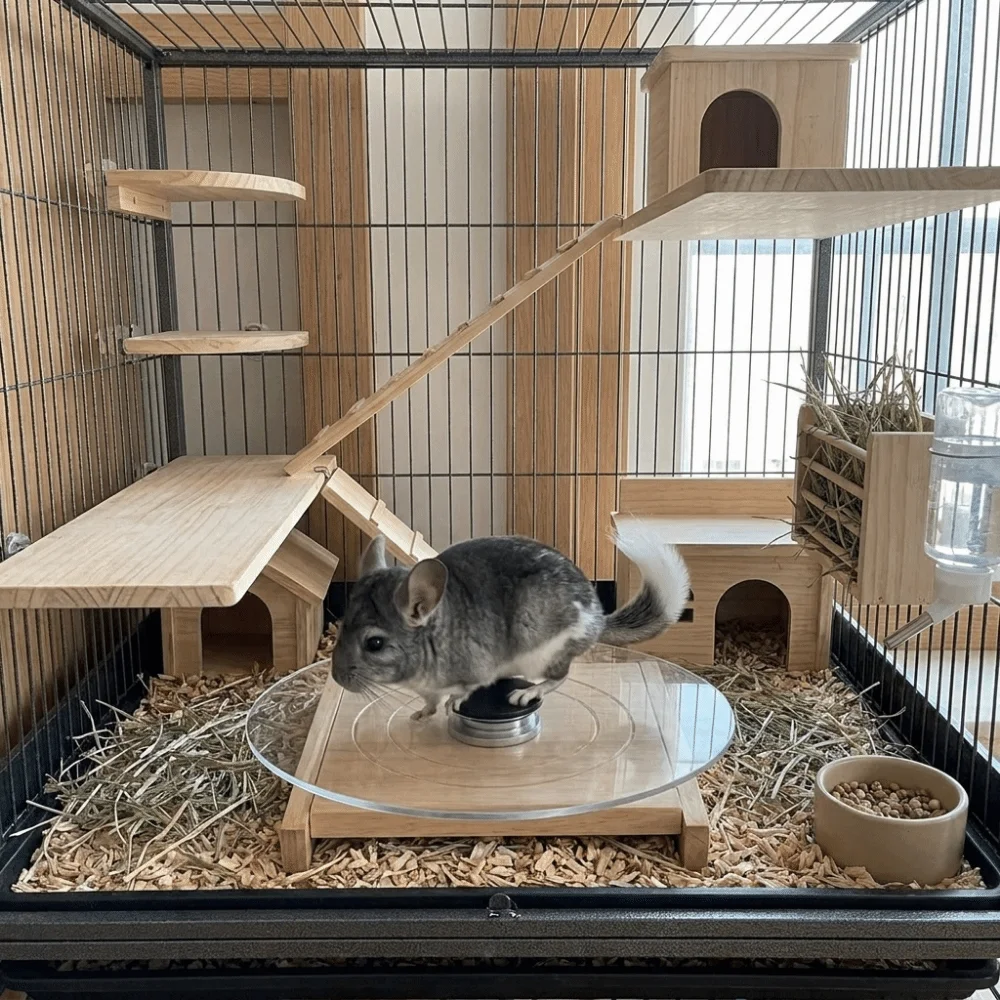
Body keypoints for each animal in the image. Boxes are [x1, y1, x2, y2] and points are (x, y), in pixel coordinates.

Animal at [331, 523, 689, 721]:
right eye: (342, 626)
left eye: (374, 643)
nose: (336, 678)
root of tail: (597, 620)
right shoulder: (428, 690)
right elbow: (430, 703)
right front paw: (419, 715)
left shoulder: (476, 669)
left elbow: (467, 689)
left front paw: (454, 703)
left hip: (543, 653)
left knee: (560, 677)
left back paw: (526, 694)